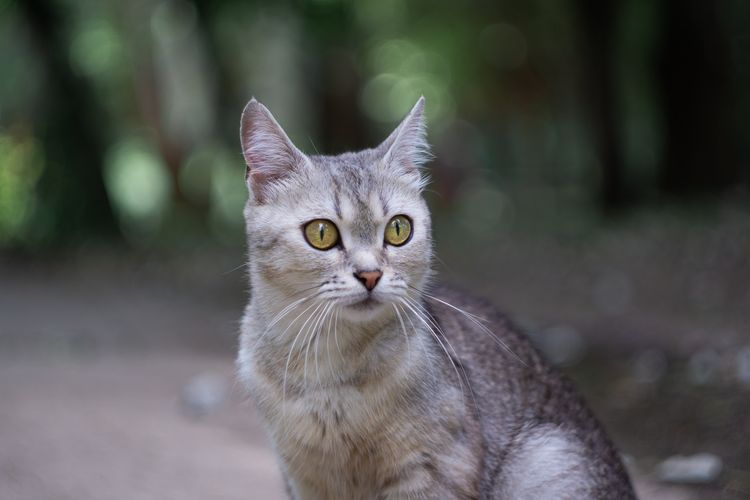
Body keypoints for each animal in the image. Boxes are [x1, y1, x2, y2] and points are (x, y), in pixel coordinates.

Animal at [238, 95, 636, 498]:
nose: (370, 274)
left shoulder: (436, 468)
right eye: (321, 233)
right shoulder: (304, 479)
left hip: (550, 462)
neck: (330, 376)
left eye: (399, 229)